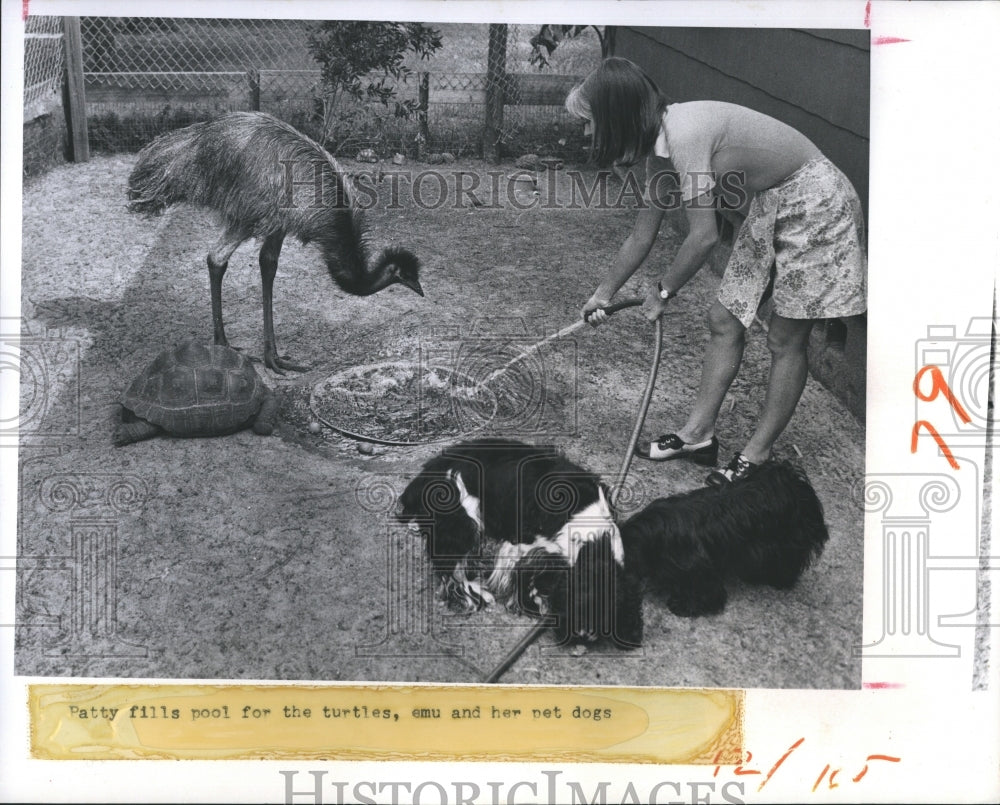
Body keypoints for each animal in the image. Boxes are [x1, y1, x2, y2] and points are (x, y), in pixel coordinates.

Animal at [394, 436, 644, 644]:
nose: (583, 635)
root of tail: (430, 468)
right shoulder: (522, 543)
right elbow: (519, 573)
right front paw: (530, 603)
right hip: (464, 521)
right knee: (452, 568)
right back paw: (477, 594)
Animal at [624, 458, 828, 616]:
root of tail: (792, 482)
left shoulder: (698, 569)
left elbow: (707, 592)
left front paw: (683, 605)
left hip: (788, 542)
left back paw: (779, 580)